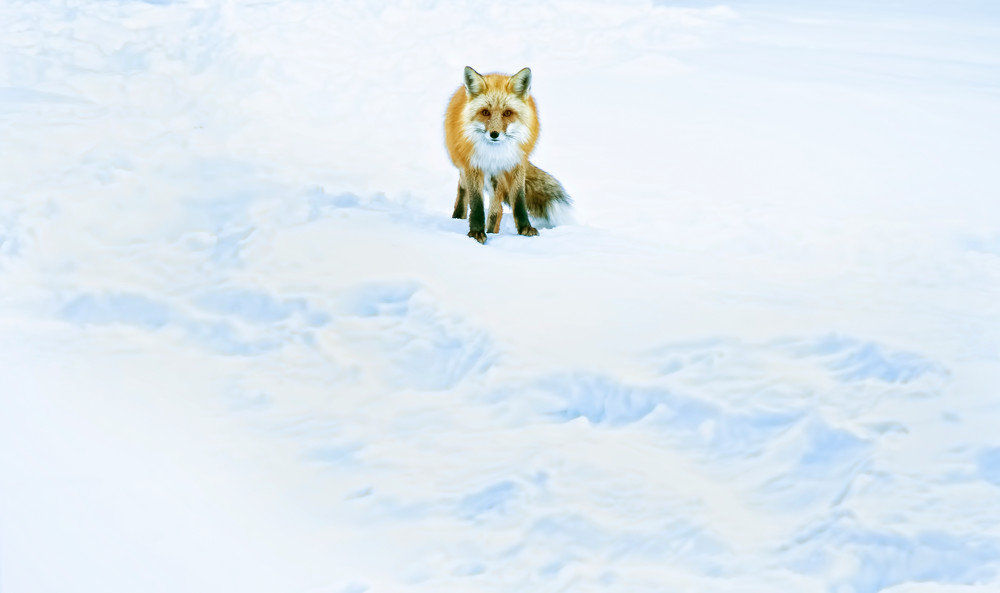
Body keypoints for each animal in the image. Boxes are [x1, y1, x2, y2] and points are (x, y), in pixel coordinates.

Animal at [444, 66, 571, 244]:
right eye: (485, 112)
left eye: (508, 113)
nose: (494, 134)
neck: (495, 154)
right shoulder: (473, 165)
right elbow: (476, 203)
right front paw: (476, 233)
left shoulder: (515, 164)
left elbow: (518, 200)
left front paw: (525, 228)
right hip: (465, 167)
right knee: (463, 188)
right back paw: (458, 217)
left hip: (496, 179)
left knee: (497, 209)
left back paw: (492, 232)